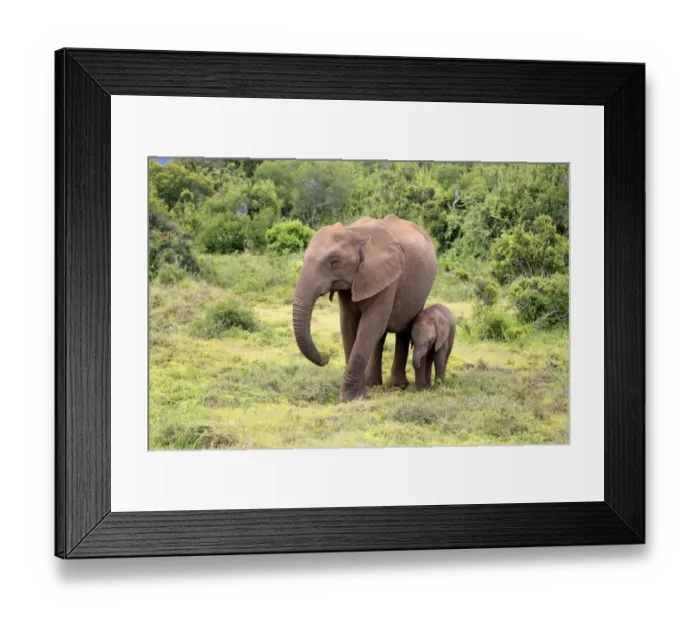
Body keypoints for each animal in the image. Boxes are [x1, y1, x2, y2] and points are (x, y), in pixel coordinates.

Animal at [292, 214, 438, 402]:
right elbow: (348, 325)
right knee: (380, 336)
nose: (326, 356)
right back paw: (373, 384)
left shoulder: (388, 277)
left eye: (333, 262)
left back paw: (397, 386)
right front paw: (360, 393)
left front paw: (349, 398)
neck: (354, 233)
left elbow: (370, 325)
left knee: (404, 329)